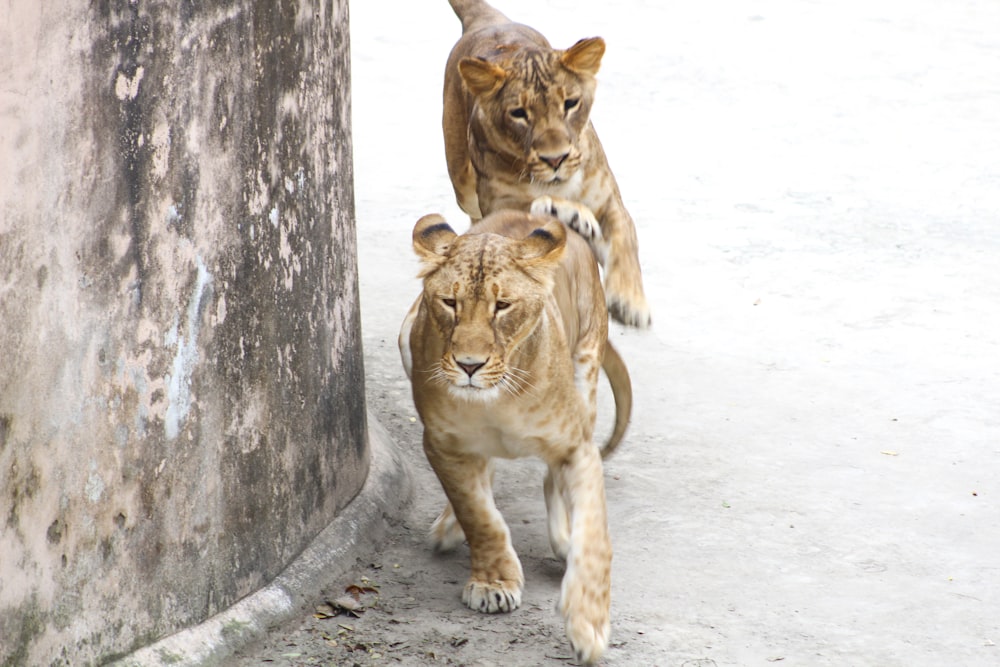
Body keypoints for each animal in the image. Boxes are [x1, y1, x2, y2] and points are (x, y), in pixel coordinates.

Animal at [398, 201, 632, 664]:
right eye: (449, 302)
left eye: (502, 306)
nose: (469, 365)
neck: (496, 399)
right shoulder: (440, 444)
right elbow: (479, 514)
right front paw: (493, 583)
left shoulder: (577, 447)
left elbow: (595, 537)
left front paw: (589, 623)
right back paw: (450, 525)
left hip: (587, 366)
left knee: (551, 481)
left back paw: (562, 540)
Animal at [444, 0, 648, 326]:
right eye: (518, 113)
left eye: (570, 104)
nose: (556, 159)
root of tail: (488, 19)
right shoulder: (501, 207)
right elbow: (525, 213)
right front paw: (565, 212)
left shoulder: (610, 202)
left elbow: (625, 240)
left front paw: (630, 301)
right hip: (463, 185)